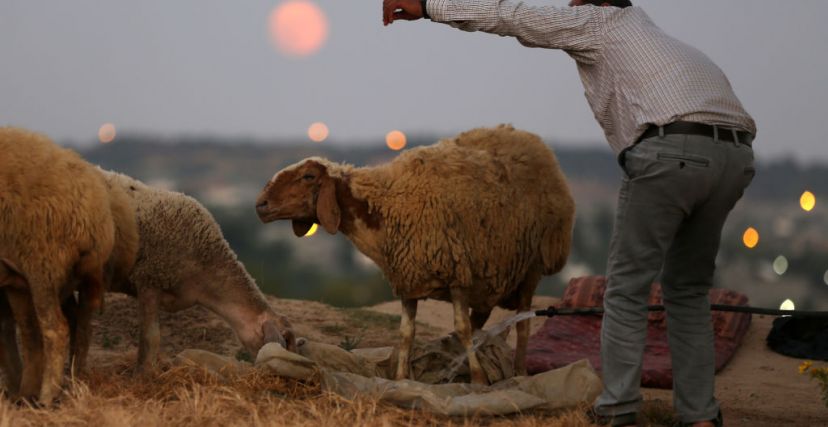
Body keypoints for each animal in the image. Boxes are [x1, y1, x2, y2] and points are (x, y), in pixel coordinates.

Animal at [256, 123, 572, 384]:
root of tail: (532, 140)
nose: (260, 205)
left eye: (308, 176)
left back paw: (517, 371)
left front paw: (479, 379)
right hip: (489, 273)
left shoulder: (456, 274)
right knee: (481, 320)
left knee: (522, 325)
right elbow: (406, 334)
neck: (387, 204)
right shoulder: (409, 280)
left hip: (531, 267)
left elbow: (462, 328)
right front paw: (401, 379)